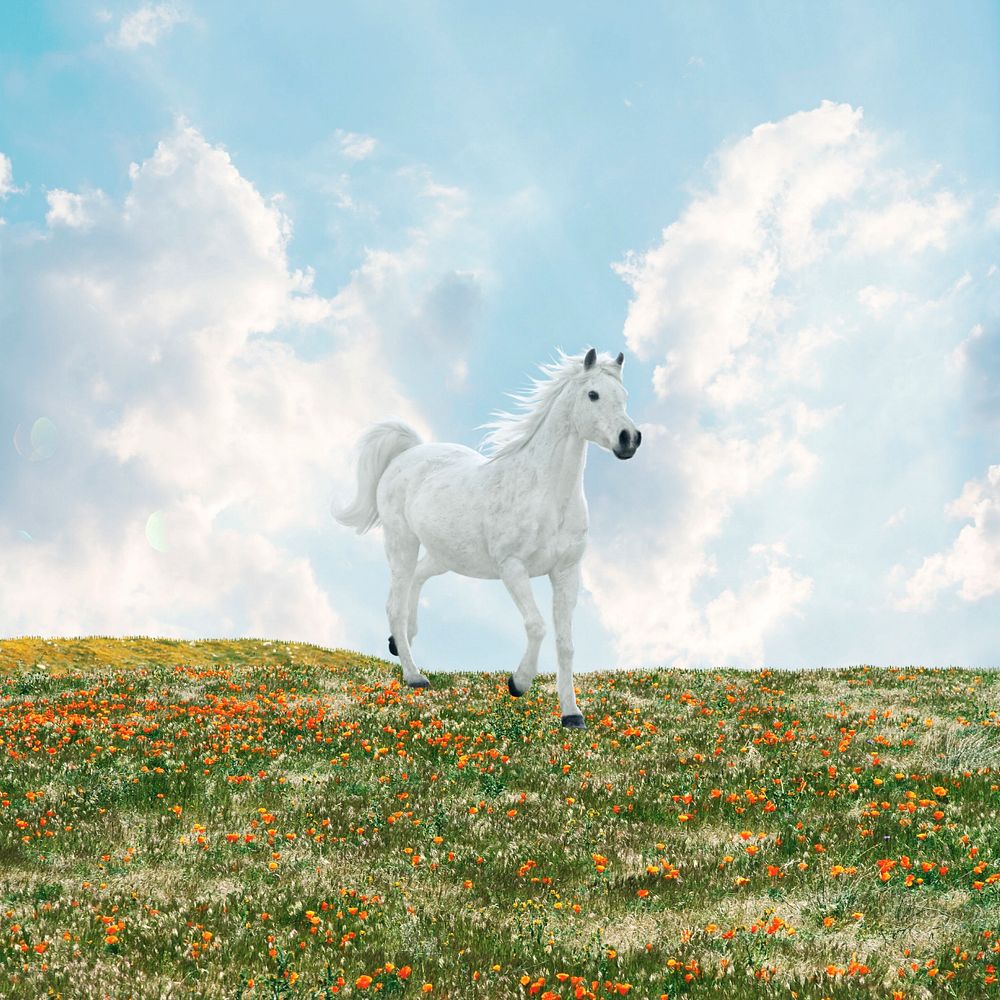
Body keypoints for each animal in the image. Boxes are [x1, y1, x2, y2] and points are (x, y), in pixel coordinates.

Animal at [330, 350, 640, 728]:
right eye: (593, 394)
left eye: (624, 396)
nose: (629, 439)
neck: (548, 495)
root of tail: (407, 454)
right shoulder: (513, 568)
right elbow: (536, 626)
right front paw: (518, 683)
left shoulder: (567, 572)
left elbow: (566, 644)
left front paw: (572, 715)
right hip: (401, 543)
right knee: (395, 603)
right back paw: (415, 676)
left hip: (445, 555)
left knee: (415, 582)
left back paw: (400, 642)